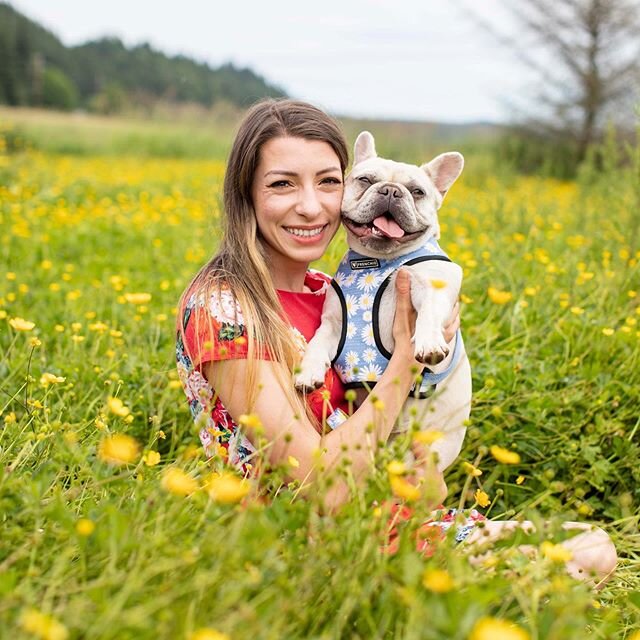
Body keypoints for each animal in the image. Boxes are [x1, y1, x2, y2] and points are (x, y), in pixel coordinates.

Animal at [296, 131, 470, 470]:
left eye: (417, 191)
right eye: (365, 180)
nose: (391, 190)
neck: (378, 261)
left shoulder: (436, 285)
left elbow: (430, 313)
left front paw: (429, 342)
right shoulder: (335, 324)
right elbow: (317, 344)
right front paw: (308, 370)